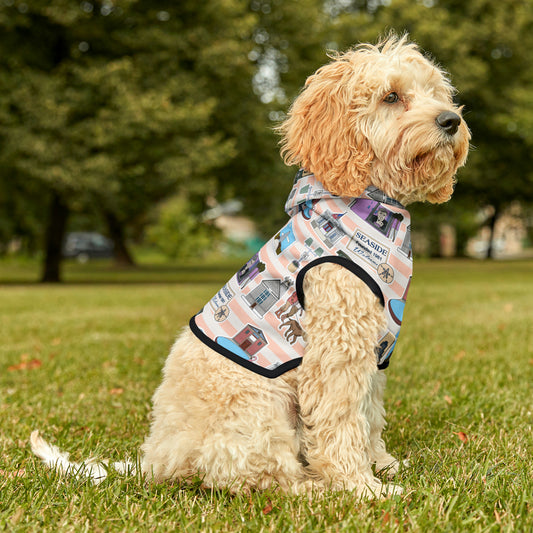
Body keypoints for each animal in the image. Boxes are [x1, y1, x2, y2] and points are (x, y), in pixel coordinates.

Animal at [31, 35, 468, 496]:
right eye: (391, 96)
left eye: (435, 93)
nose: (451, 120)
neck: (363, 207)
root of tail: (157, 460)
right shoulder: (336, 349)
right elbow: (341, 421)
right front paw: (361, 487)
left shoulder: (372, 352)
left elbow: (369, 415)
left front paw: (382, 464)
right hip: (260, 408)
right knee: (259, 476)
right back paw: (313, 487)